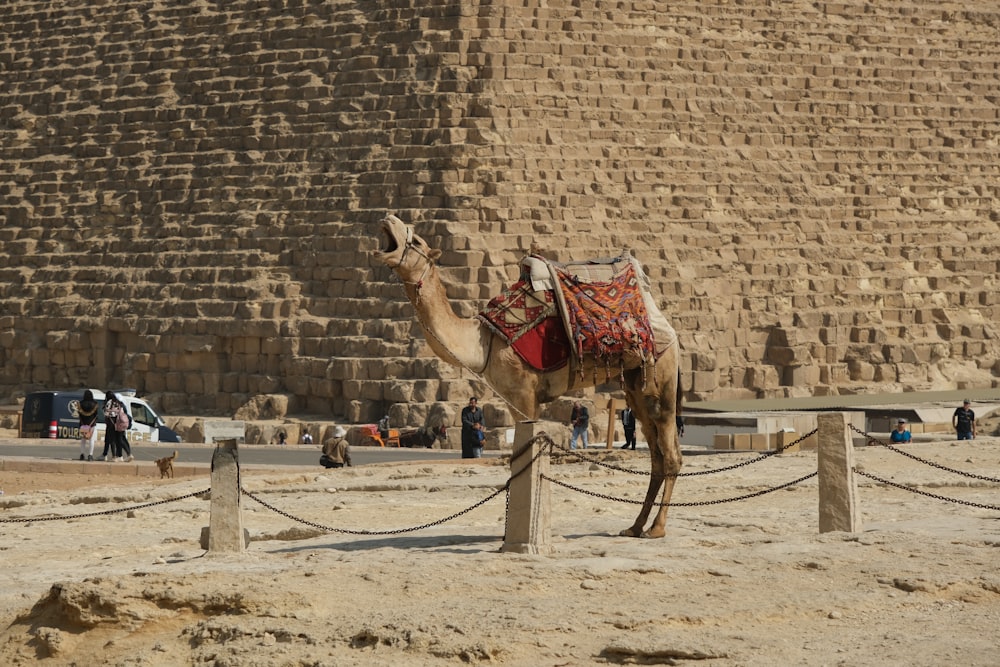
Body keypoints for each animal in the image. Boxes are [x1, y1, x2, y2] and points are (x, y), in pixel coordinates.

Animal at [376, 217, 688, 540]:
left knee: (671, 453)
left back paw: (657, 529)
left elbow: (524, 454)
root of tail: (668, 327)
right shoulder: (514, 398)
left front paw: (522, 533)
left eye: (417, 241)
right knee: (655, 453)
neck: (483, 343)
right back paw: (635, 526)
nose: (389, 218)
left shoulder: (524, 394)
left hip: (663, 374)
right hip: (637, 386)